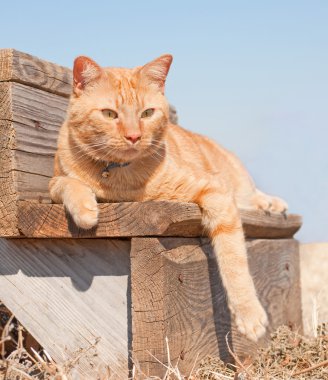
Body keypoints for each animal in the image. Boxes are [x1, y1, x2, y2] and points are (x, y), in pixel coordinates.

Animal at [48, 55, 288, 342]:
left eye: (147, 113)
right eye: (109, 114)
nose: (134, 136)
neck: (117, 176)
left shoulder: (216, 191)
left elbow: (234, 259)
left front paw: (249, 315)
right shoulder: (53, 182)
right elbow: (68, 184)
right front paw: (85, 210)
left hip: (236, 182)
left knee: (250, 195)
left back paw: (271, 203)